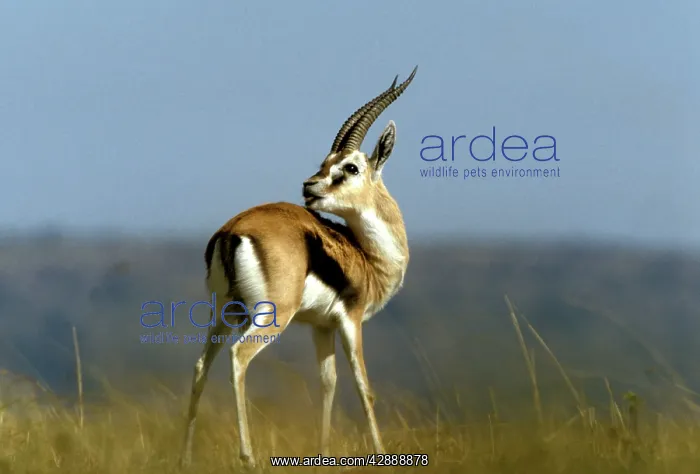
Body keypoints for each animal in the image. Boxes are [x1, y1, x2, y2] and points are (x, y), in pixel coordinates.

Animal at [180, 66, 417, 468]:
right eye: (329, 163)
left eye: (349, 167)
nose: (309, 186)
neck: (367, 257)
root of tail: (232, 231)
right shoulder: (350, 320)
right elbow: (363, 386)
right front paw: (382, 454)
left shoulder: (321, 326)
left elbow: (328, 382)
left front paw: (323, 455)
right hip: (270, 317)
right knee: (238, 357)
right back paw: (248, 458)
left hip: (224, 314)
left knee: (200, 366)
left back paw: (185, 459)